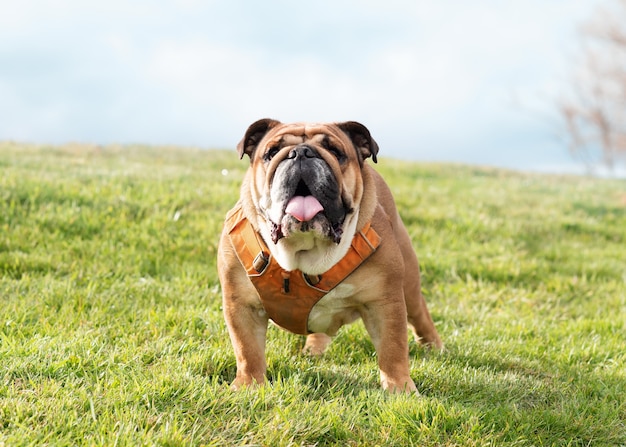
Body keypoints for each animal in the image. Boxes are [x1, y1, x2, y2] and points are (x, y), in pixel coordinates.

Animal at [217, 118, 442, 392]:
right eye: (271, 153)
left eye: (335, 151)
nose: (301, 152)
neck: (307, 251)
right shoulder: (241, 305)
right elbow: (247, 350)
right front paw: (249, 386)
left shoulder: (385, 303)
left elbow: (393, 348)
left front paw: (399, 389)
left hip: (408, 284)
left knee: (419, 314)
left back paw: (435, 346)